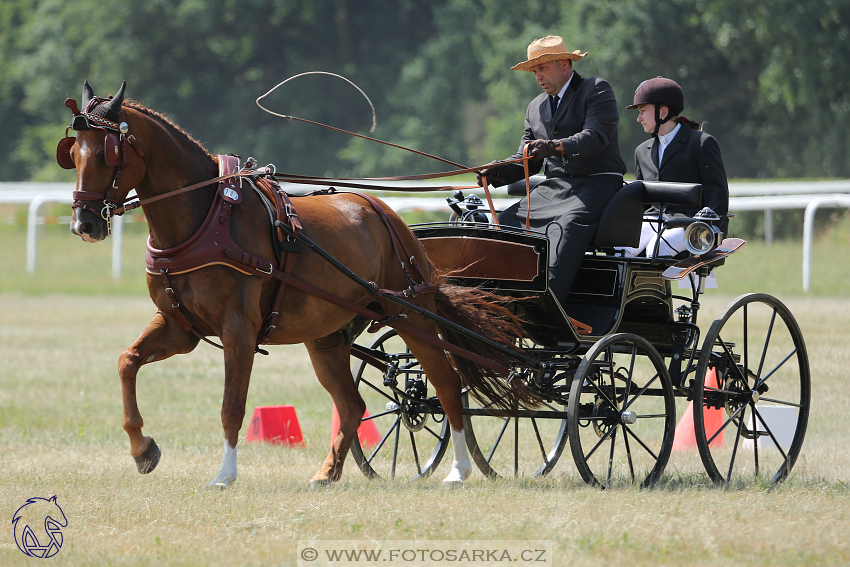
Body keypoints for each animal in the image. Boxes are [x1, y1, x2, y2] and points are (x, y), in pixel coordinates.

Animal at [59, 82, 524, 490]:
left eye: (107, 154)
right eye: (75, 154)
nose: (84, 225)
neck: (204, 218)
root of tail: (384, 211)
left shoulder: (238, 330)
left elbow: (232, 406)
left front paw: (224, 476)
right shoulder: (180, 327)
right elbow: (128, 362)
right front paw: (143, 450)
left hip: (411, 313)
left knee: (445, 384)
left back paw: (459, 470)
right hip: (327, 336)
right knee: (353, 405)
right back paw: (327, 473)